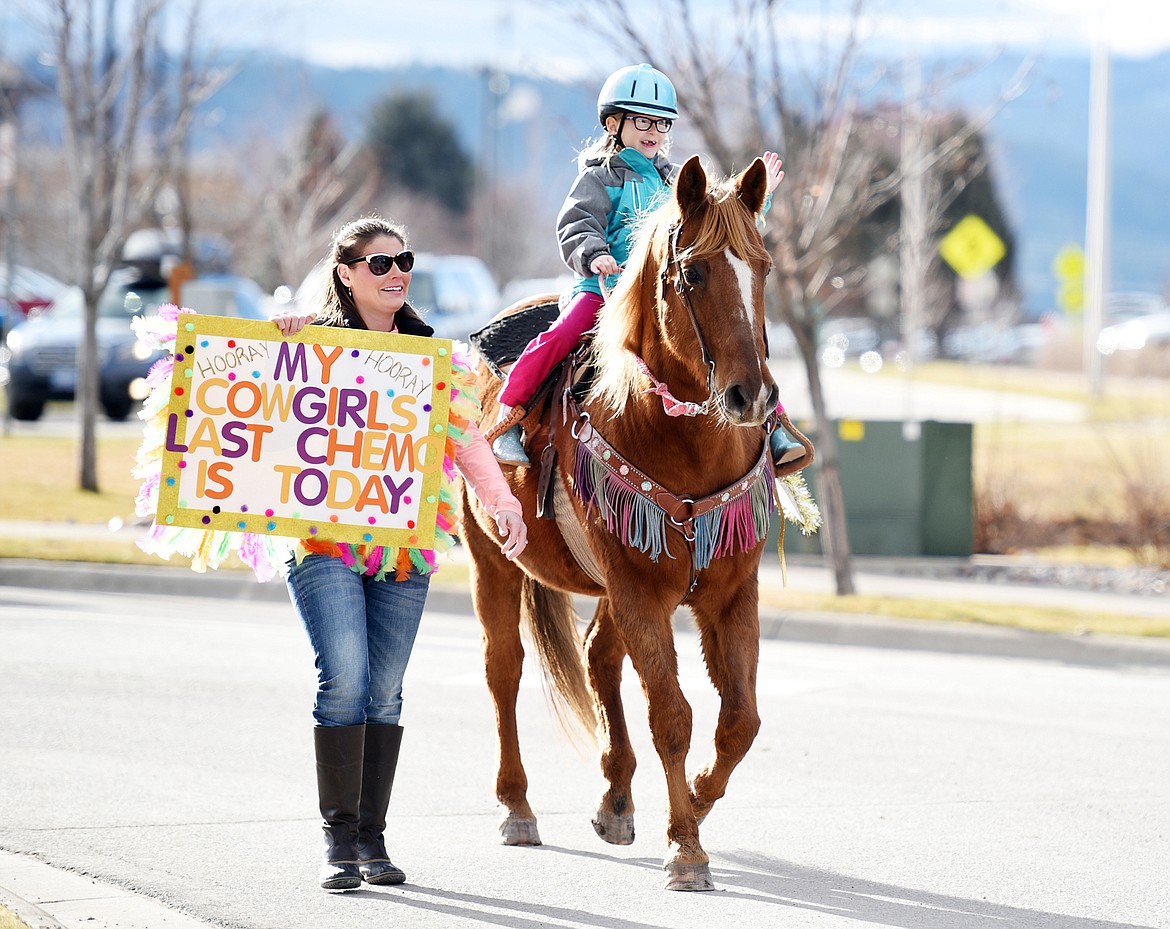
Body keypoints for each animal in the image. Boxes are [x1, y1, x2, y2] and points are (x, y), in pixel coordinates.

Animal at [460, 153, 781, 889]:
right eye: (694, 273)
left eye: (763, 265)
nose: (750, 396)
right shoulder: (641, 591)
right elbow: (673, 715)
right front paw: (686, 846)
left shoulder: (727, 593)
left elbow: (739, 720)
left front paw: (695, 798)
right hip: (492, 559)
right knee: (504, 670)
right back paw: (517, 806)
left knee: (596, 654)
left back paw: (616, 796)